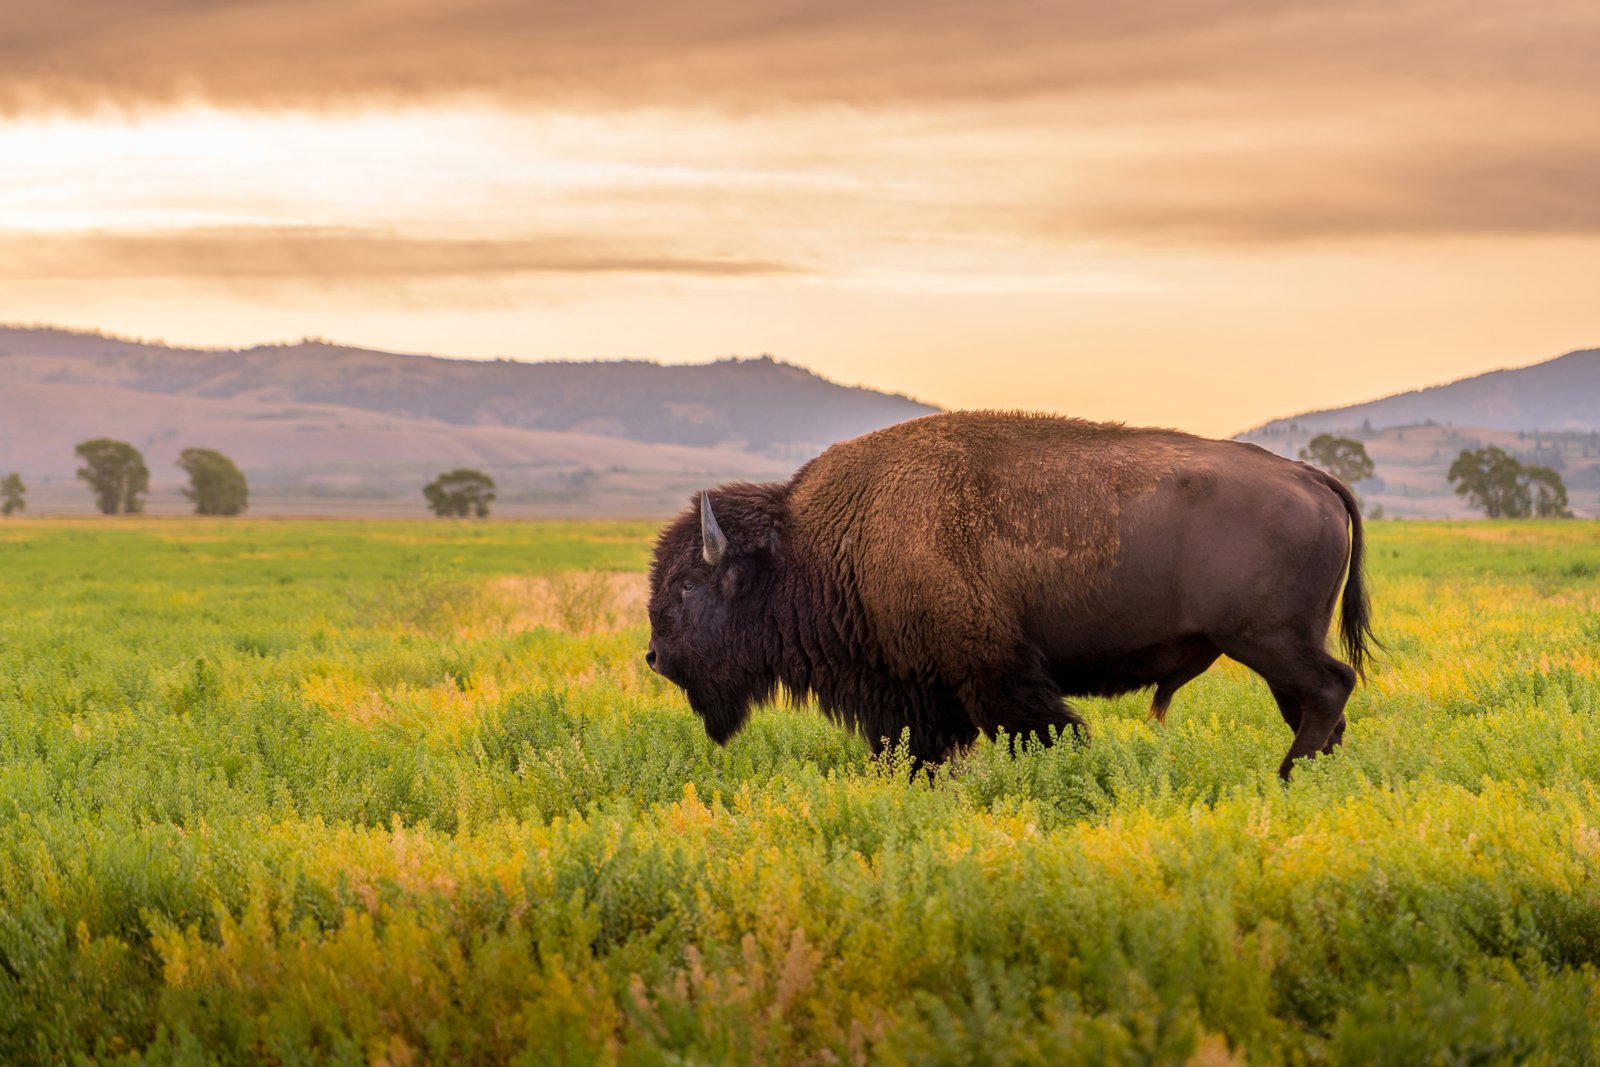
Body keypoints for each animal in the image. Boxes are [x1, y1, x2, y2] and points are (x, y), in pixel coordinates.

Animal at [646, 411, 1374, 779]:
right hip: (1277, 646)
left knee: (1330, 687)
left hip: (1268, 639)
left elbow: (1042, 728)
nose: (653, 656)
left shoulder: (992, 671)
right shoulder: (916, 693)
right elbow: (919, 749)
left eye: (685, 586)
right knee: (1318, 704)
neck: (828, 538)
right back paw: (1313, 779)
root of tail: (1312, 477)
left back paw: (1288, 777)